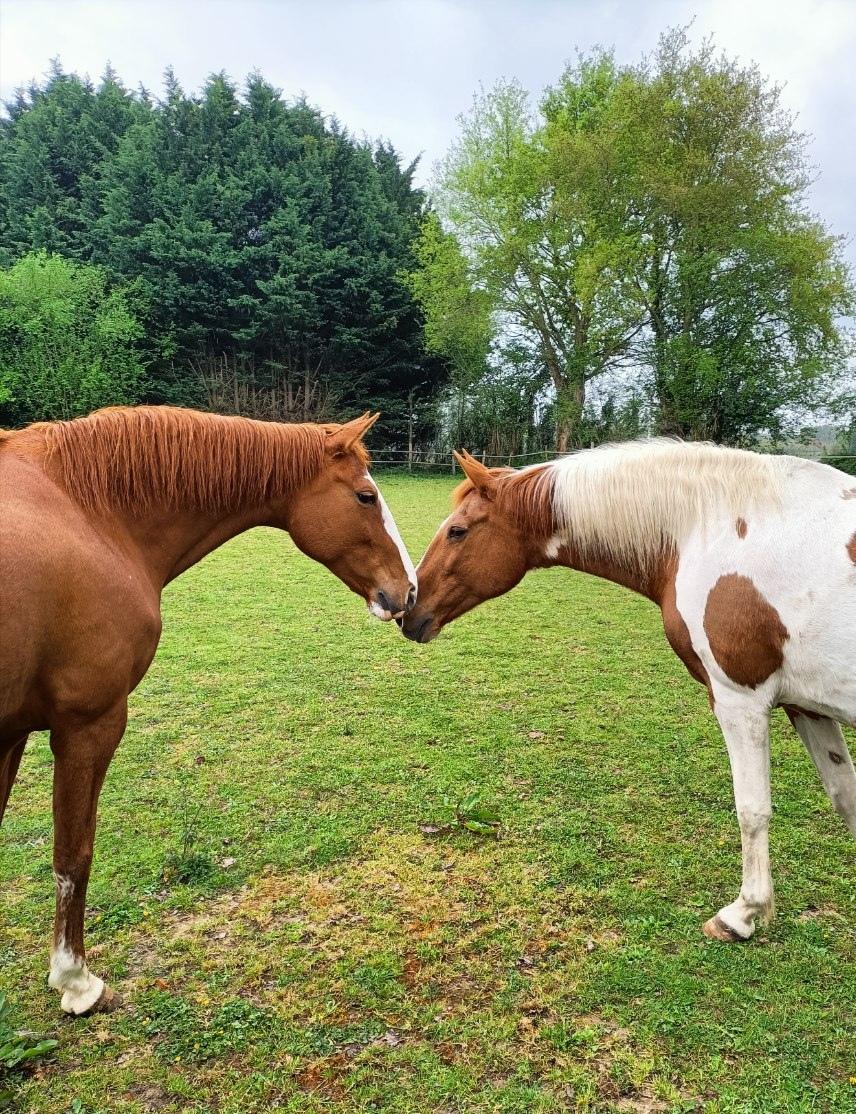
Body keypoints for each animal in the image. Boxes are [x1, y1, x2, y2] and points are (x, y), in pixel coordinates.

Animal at [0, 405, 416, 1015]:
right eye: (365, 496)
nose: (409, 592)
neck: (93, 514)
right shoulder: (88, 723)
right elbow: (73, 853)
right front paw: (76, 980)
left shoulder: (9, 734)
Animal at [400, 442, 856, 942]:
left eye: (457, 531)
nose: (408, 609)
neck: (708, 530)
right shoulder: (806, 706)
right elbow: (846, 795)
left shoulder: (741, 698)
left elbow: (751, 809)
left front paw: (742, 914)